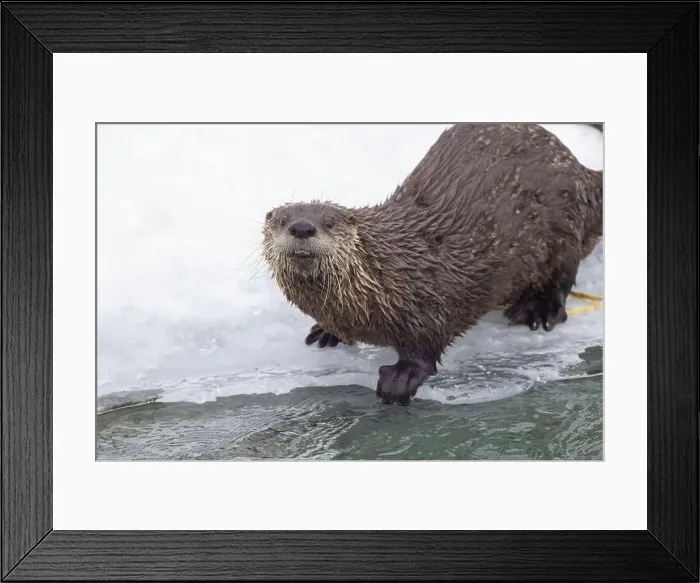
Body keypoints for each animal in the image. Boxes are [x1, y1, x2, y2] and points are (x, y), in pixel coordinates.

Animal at [262, 123, 603, 405]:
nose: (302, 227)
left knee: (563, 277)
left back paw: (537, 310)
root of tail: (580, 170)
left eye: (329, 223)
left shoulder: (431, 299)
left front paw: (401, 378)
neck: (388, 270)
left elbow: (427, 344)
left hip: (563, 226)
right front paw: (325, 331)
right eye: (282, 220)